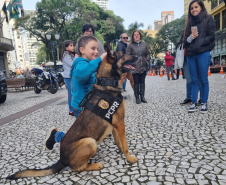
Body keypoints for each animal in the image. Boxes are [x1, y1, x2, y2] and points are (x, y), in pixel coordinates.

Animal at [6, 47, 138, 179]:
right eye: (123, 54)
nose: (138, 57)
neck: (106, 84)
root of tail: (62, 159)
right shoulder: (120, 123)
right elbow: (125, 145)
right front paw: (129, 158)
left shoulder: (114, 125)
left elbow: (119, 142)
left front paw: (121, 152)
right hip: (90, 142)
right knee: (76, 168)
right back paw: (94, 165)